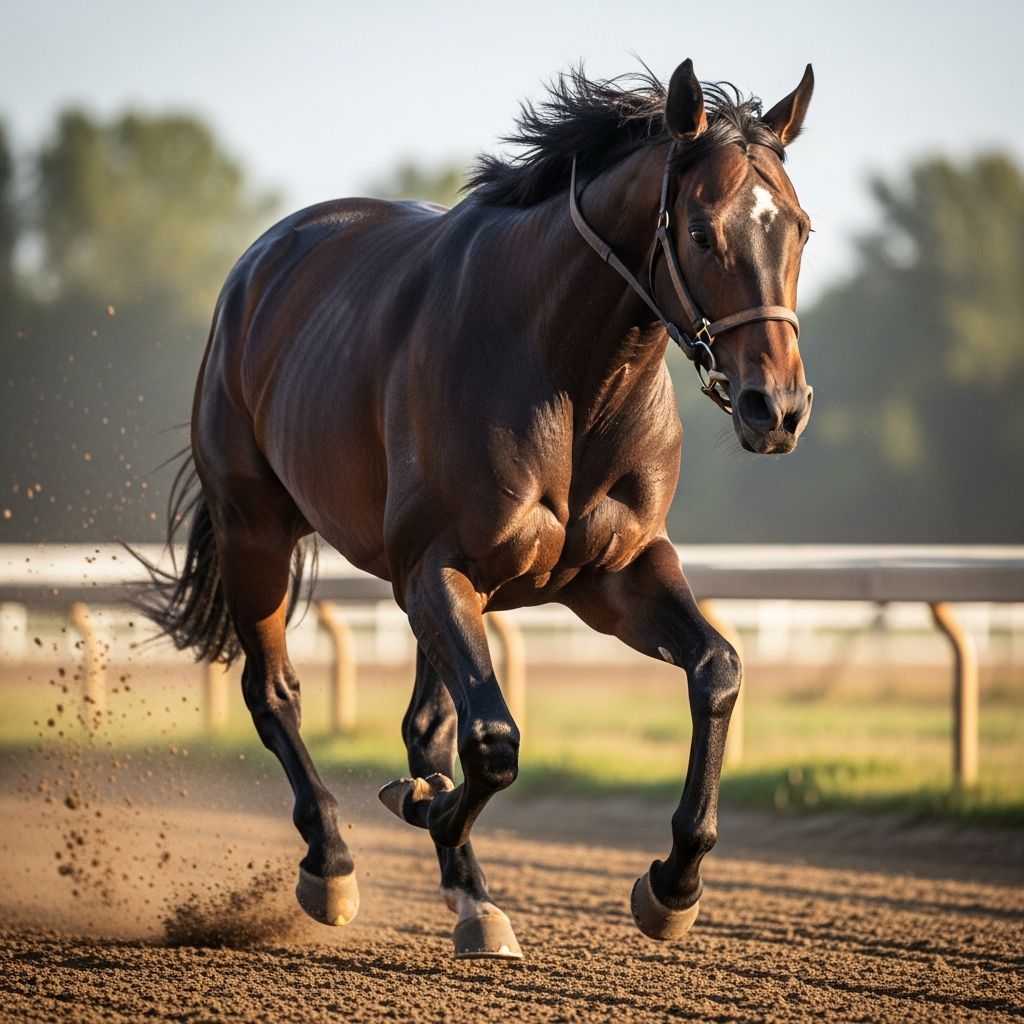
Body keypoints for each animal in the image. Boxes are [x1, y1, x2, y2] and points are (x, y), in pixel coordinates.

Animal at [140, 57, 815, 959]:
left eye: (800, 229)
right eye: (704, 233)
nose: (777, 407)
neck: (565, 371)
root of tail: (262, 262)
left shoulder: (615, 572)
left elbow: (717, 670)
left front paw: (673, 884)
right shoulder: (438, 566)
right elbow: (493, 744)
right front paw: (423, 809)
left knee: (425, 721)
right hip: (257, 533)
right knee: (275, 692)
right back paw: (333, 862)